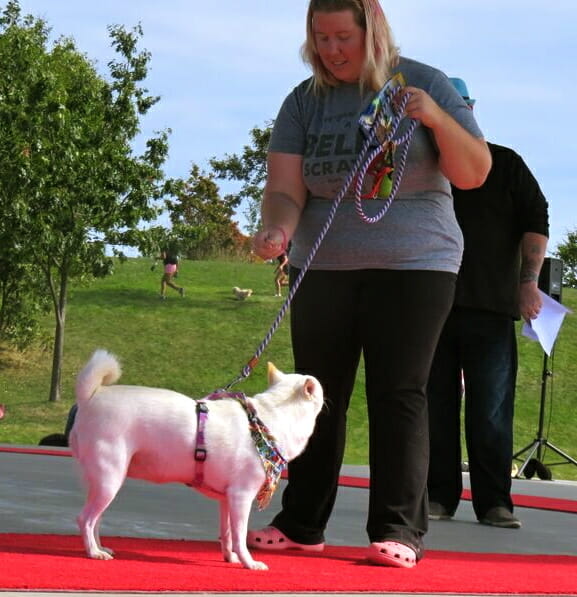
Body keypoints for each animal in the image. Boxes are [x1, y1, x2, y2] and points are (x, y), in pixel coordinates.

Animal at [68, 350, 324, 568]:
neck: (267, 418)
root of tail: (90, 398)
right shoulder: (241, 497)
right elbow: (240, 535)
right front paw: (248, 563)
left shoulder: (227, 500)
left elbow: (227, 534)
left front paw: (230, 557)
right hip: (109, 479)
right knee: (85, 519)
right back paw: (93, 552)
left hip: (101, 483)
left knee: (96, 519)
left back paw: (100, 547)